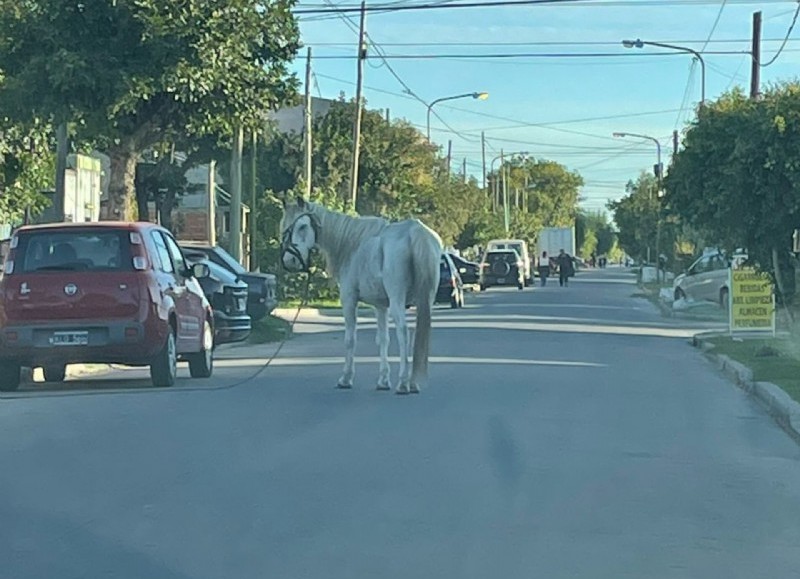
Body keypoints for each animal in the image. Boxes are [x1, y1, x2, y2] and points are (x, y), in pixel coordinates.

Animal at [282, 198, 444, 394]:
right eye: (286, 228)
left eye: (302, 226)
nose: (290, 260)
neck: (352, 246)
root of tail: (415, 231)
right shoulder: (381, 306)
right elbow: (383, 339)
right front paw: (383, 381)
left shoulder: (349, 300)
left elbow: (350, 339)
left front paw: (346, 379)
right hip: (425, 300)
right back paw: (412, 383)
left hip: (398, 300)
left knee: (403, 331)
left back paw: (403, 383)